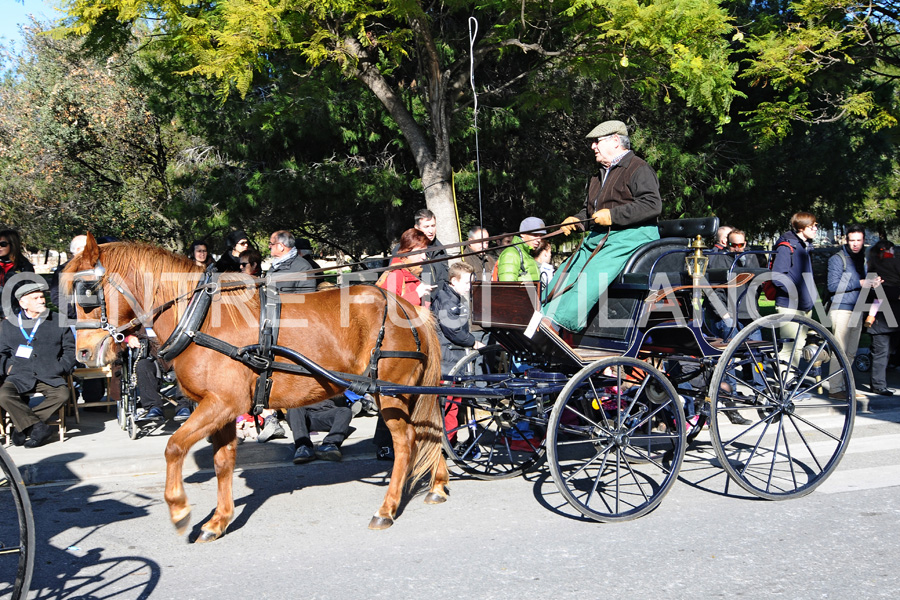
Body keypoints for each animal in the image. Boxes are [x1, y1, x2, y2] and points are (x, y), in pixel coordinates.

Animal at [65, 233, 450, 540]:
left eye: (86, 293)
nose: (82, 353)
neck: (199, 318)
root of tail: (408, 308)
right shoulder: (220, 410)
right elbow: (222, 462)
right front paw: (218, 520)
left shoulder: (221, 403)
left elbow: (174, 447)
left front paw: (179, 510)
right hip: (404, 393)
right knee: (428, 431)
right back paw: (438, 486)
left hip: (390, 393)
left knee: (406, 441)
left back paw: (386, 509)